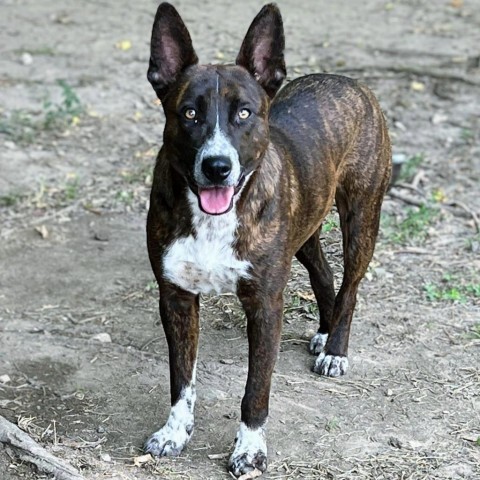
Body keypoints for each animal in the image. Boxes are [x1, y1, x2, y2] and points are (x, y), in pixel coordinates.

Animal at [142, 2, 390, 476]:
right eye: (189, 113)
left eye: (244, 113)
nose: (217, 166)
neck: (214, 221)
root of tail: (349, 80)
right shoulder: (176, 297)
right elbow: (181, 378)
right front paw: (174, 432)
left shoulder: (264, 305)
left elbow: (256, 388)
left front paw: (250, 449)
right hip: (304, 227)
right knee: (324, 272)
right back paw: (325, 330)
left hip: (362, 216)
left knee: (350, 285)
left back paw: (336, 348)